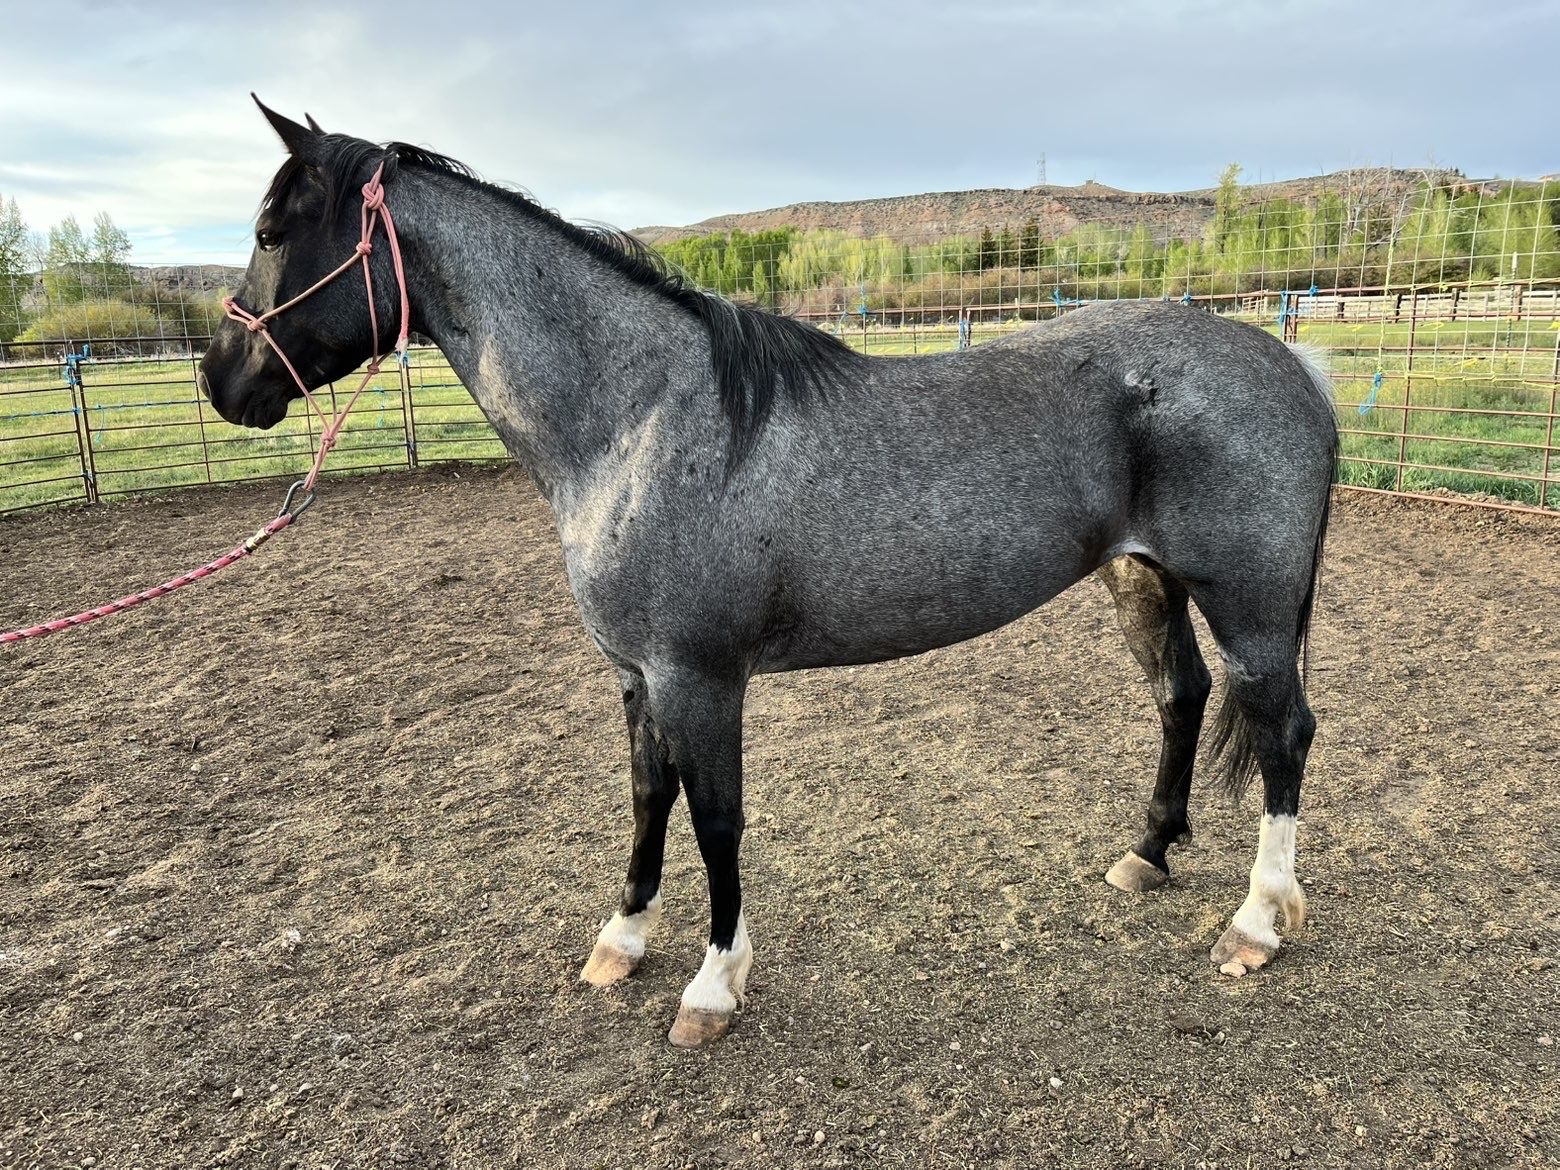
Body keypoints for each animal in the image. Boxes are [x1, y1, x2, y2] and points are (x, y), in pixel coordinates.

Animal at [199, 101, 1338, 1048]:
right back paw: (1147, 854)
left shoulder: (700, 678)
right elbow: (647, 797)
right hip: (1141, 579)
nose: (221, 380)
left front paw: (711, 987)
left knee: (1283, 732)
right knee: (1181, 696)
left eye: (271, 234)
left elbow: (716, 819)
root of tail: (1290, 364)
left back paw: (1256, 924)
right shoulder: (638, 676)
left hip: (1249, 605)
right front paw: (622, 940)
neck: (640, 421)